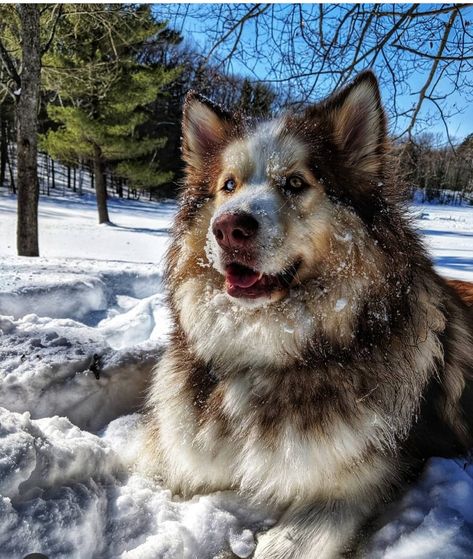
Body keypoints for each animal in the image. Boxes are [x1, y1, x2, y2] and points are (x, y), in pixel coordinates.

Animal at [144, 72, 472, 556]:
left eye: (296, 183)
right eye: (228, 186)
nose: (228, 228)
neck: (268, 352)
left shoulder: (362, 478)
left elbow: (286, 542)